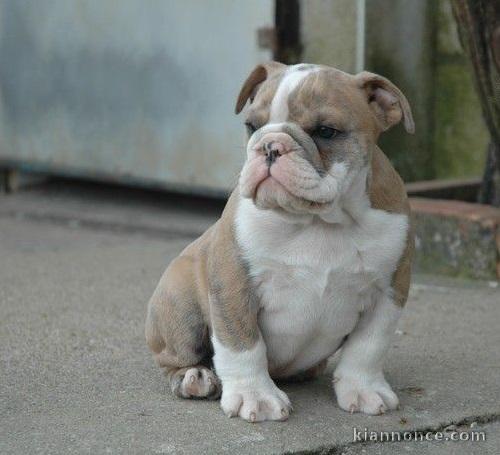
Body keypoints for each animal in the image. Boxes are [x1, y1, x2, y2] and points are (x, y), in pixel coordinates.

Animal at [146, 61, 416, 424]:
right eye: (251, 126)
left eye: (326, 131)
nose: (270, 145)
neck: (318, 220)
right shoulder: (234, 284)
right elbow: (242, 343)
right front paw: (254, 396)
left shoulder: (388, 291)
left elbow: (368, 346)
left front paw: (363, 389)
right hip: (180, 304)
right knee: (176, 356)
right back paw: (195, 376)